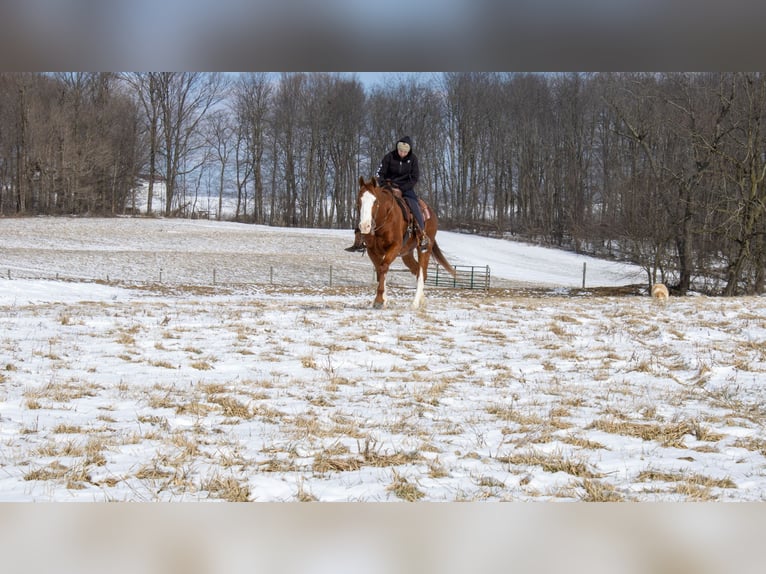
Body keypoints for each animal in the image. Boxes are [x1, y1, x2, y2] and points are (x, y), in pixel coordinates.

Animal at [358, 178, 460, 310]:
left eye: (375, 201)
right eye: (359, 200)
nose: (365, 226)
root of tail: (431, 212)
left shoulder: (394, 247)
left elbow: (383, 267)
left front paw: (379, 300)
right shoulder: (372, 250)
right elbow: (380, 270)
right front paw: (383, 300)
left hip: (424, 248)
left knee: (421, 273)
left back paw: (415, 303)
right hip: (407, 254)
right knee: (417, 270)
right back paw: (422, 300)